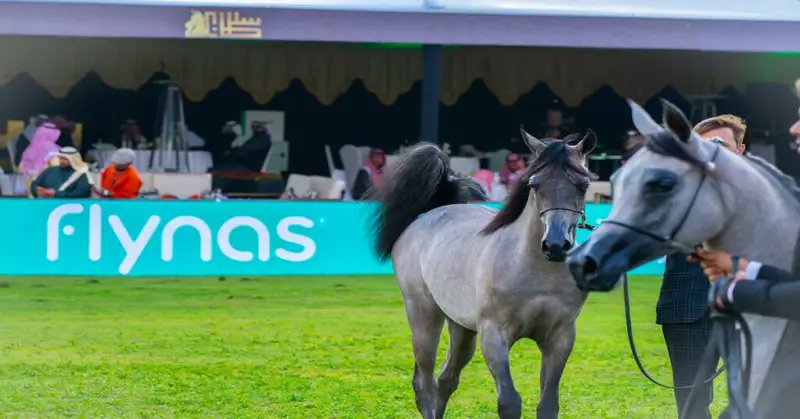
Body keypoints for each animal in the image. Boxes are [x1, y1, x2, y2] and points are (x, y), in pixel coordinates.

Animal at [372, 128, 596, 419]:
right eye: (534, 184)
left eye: (583, 185)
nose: (556, 245)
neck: (534, 272)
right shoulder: (494, 337)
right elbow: (509, 402)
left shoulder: (560, 339)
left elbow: (547, 404)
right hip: (423, 316)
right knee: (426, 383)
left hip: (461, 328)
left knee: (446, 378)